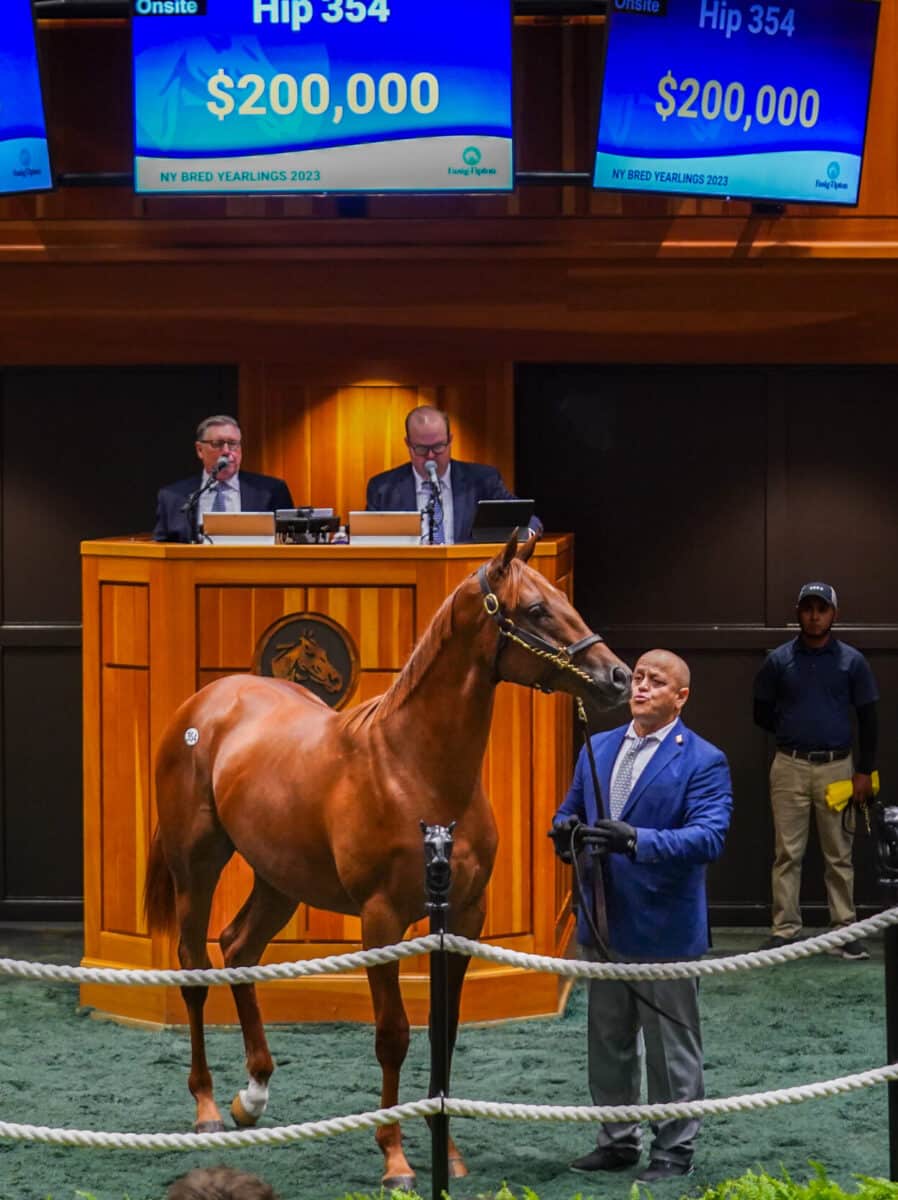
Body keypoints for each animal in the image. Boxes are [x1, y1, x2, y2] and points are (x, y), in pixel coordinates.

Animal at [142, 537, 629, 1190]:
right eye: (535, 610)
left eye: (562, 598)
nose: (617, 677)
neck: (412, 770)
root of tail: (205, 703)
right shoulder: (381, 922)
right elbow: (392, 1035)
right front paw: (395, 1159)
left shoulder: (463, 919)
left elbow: (445, 1031)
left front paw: (449, 1153)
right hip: (196, 864)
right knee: (194, 968)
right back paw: (208, 1107)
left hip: (279, 878)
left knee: (239, 947)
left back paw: (255, 1095)